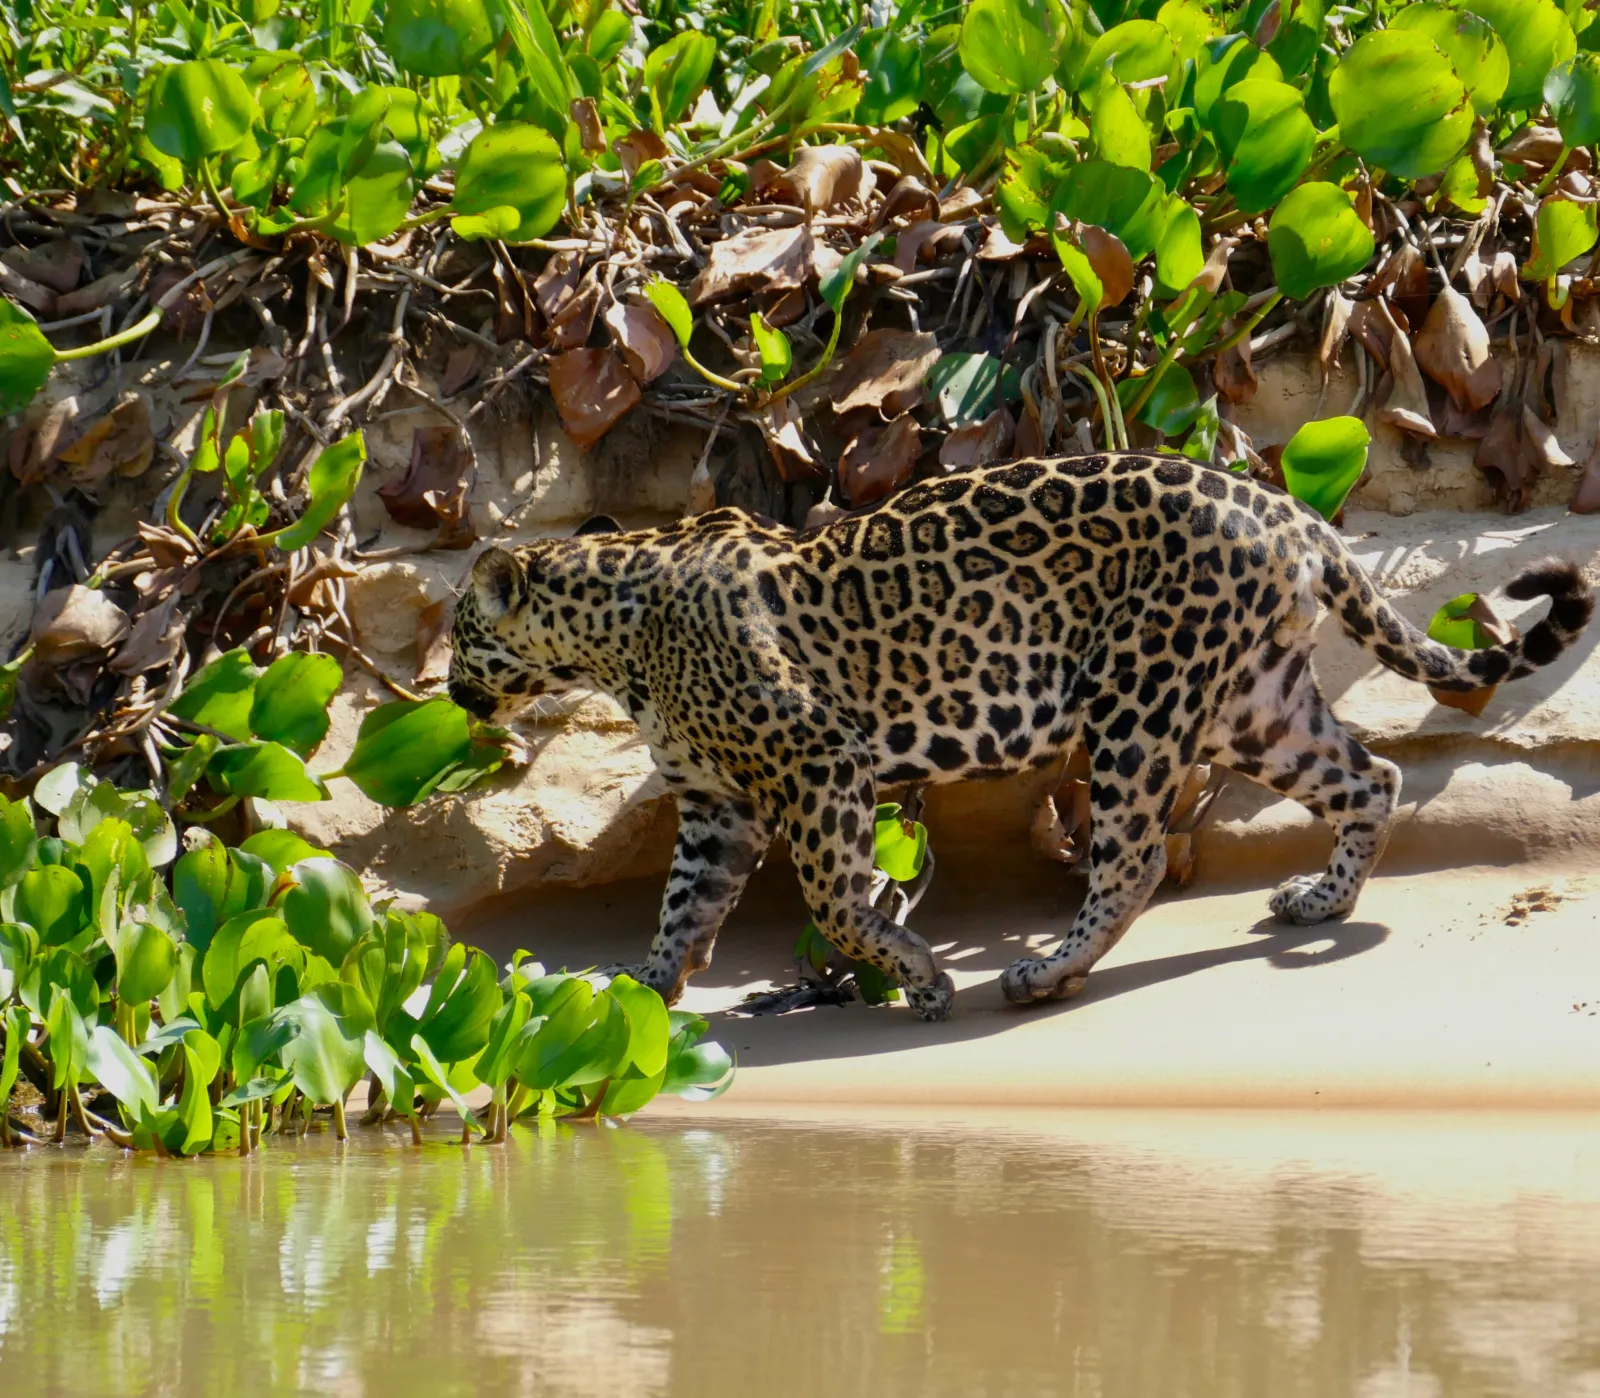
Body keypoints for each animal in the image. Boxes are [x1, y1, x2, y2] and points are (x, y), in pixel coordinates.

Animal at [447, 452, 1592, 1022]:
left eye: (459, 632)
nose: (452, 695)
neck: (614, 630)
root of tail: (1287, 506)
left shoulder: (820, 762)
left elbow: (836, 901)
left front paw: (921, 978)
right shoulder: (716, 804)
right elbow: (683, 906)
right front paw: (640, 999)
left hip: (1144, 699)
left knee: (1132, 857)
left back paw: (1045, 973)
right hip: (1254, 703)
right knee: (1371, 777)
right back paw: (1320, 900)